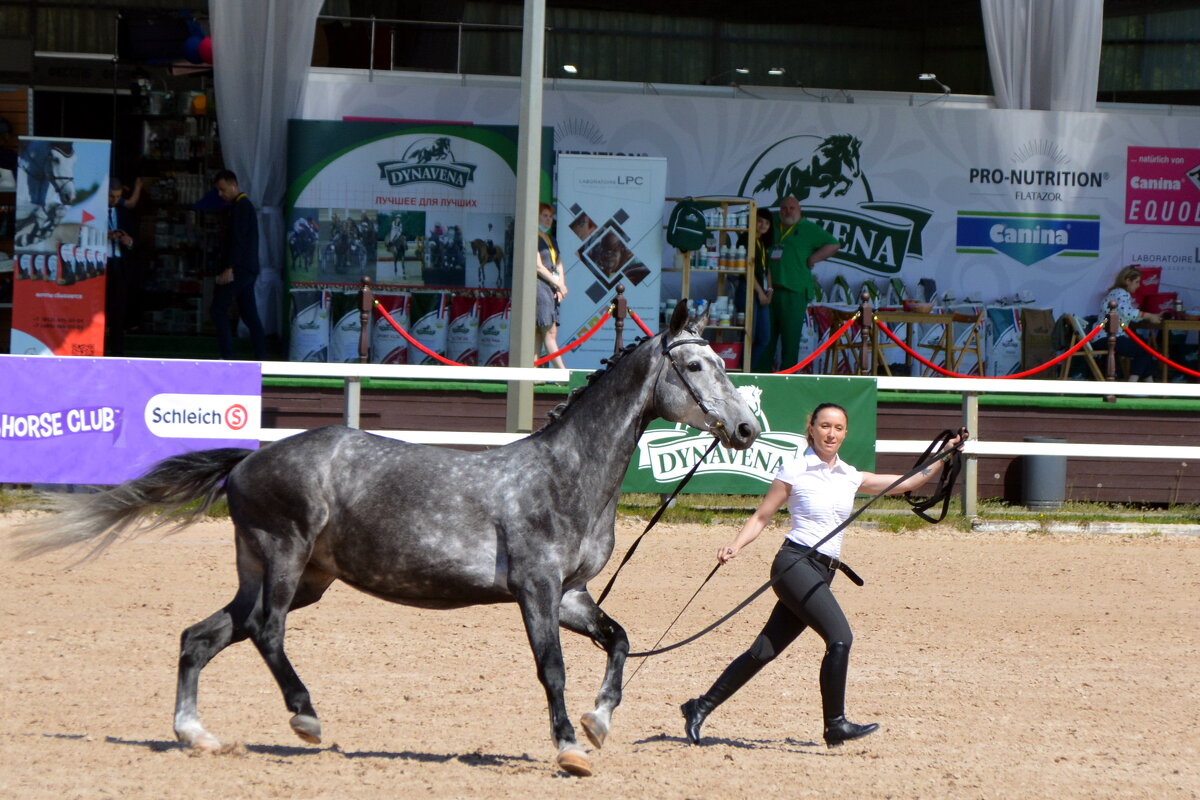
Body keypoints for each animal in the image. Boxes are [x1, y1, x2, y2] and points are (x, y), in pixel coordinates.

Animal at [11, 303, 758, 777]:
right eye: (696, 368)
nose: (748, 428)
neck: (566, 473)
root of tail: (249, 461)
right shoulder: (536, 590)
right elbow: (552, 669)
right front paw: (570, 747)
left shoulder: (572, 594)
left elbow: (620, 640)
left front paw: (600, 723)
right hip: (284, 560)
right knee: (265, 631)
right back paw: (306, 719)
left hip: (287, 573)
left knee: (204, 636)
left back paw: (196, 734)